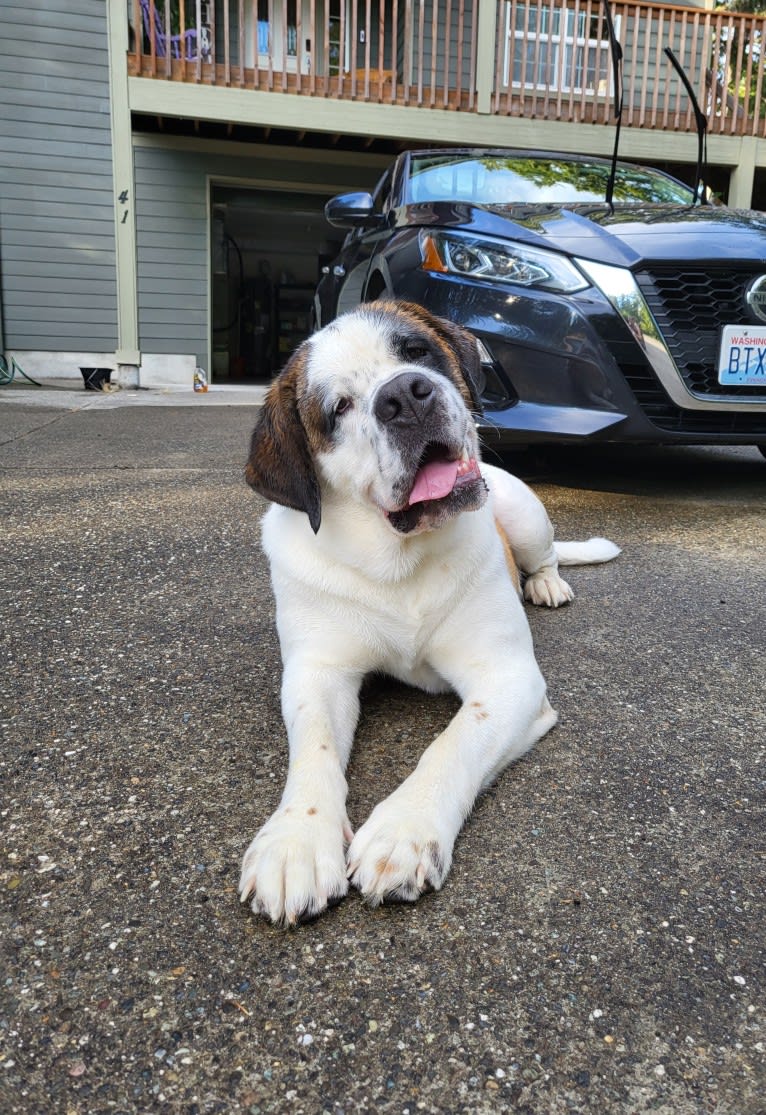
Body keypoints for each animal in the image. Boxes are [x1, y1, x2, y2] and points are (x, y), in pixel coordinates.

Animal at [238, 296, 615, 923]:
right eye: (339, 407)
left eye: (416, 351)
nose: (405, 395)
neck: (397, 561)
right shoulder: (316, 673)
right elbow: (313, 748)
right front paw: (295, 841)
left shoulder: (509, 677)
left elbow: (452, 744)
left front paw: (405, 831)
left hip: (523, 511)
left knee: (544, 555)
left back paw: (546, 584)